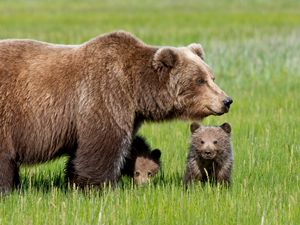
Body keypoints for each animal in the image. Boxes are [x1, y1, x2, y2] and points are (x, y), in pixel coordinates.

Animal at [0, 29, 232, 192]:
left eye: (212, 76)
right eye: (199, 80)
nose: (227, 100)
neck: (136, 89)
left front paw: (74, 182)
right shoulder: (104, 94)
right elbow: (103, 145)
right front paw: (98, 187)